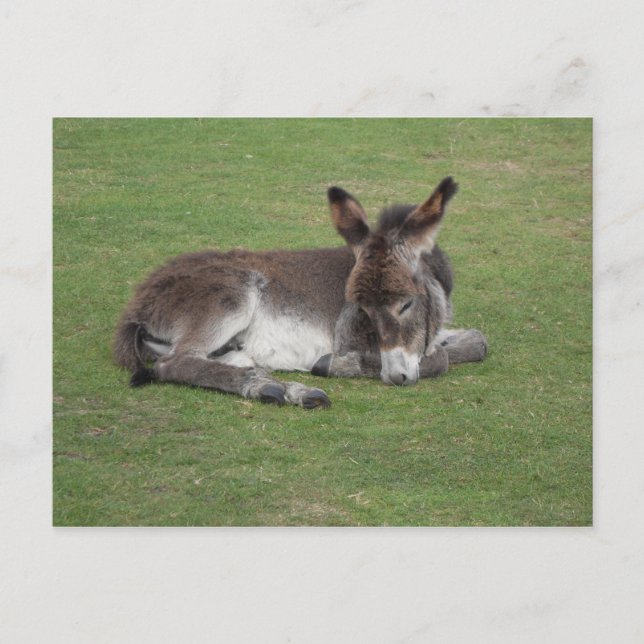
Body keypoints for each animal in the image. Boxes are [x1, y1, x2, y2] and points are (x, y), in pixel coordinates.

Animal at [113, 177, 488, 409]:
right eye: (362, 310)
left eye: (407, 303)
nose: (394, 377)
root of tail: (138, 304)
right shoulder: (355, 339)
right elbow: (439, 359)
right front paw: (333, 364)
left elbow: (478, 341)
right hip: (230, 298)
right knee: (175, 362)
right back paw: (275, 389)